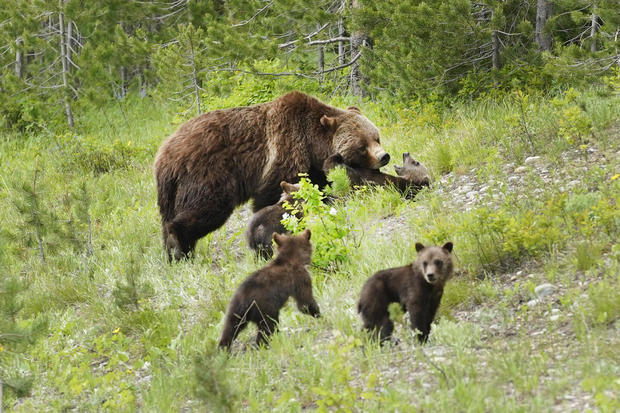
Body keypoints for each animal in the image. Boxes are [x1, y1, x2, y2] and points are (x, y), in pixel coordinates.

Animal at [154, 91, 388, 260]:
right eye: (362, 146)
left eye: (376, 137)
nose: (384, 156)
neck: (312, 143)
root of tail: (163, 157)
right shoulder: (285, 150)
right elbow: (273, 192)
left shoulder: (314, 165)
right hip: (207, 174)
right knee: (205, 209)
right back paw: (180, 249)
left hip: (171, 193)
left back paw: (171, 253)